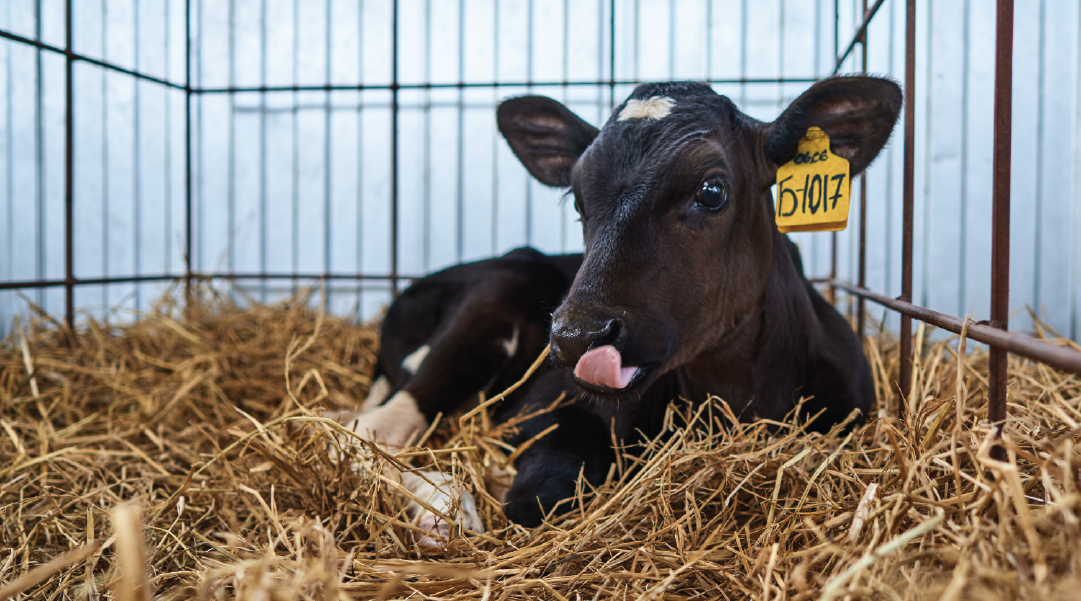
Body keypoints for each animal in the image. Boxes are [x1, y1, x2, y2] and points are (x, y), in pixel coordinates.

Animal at [343, 77, 903, 538]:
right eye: (576, 199)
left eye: (712, 191)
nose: (575, 335)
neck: (735, 393)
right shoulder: (546, 408)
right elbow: (543, 491)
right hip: (492, 296)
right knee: (365, 431)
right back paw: (440, 507)